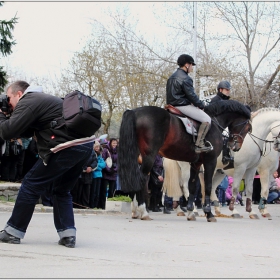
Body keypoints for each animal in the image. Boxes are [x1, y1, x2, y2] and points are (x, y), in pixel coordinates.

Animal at [118, 99, 252, 222]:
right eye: (248, 127)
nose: (235, 146)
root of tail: (134, 112)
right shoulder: (210, 161)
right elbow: (208, 186)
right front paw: (209, 213)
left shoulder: (196, 163)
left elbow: (192, 186)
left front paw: (191, 212)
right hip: (149, 156)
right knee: (142, 179)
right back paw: (144, 212)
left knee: (135, 178)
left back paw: (135, 211)